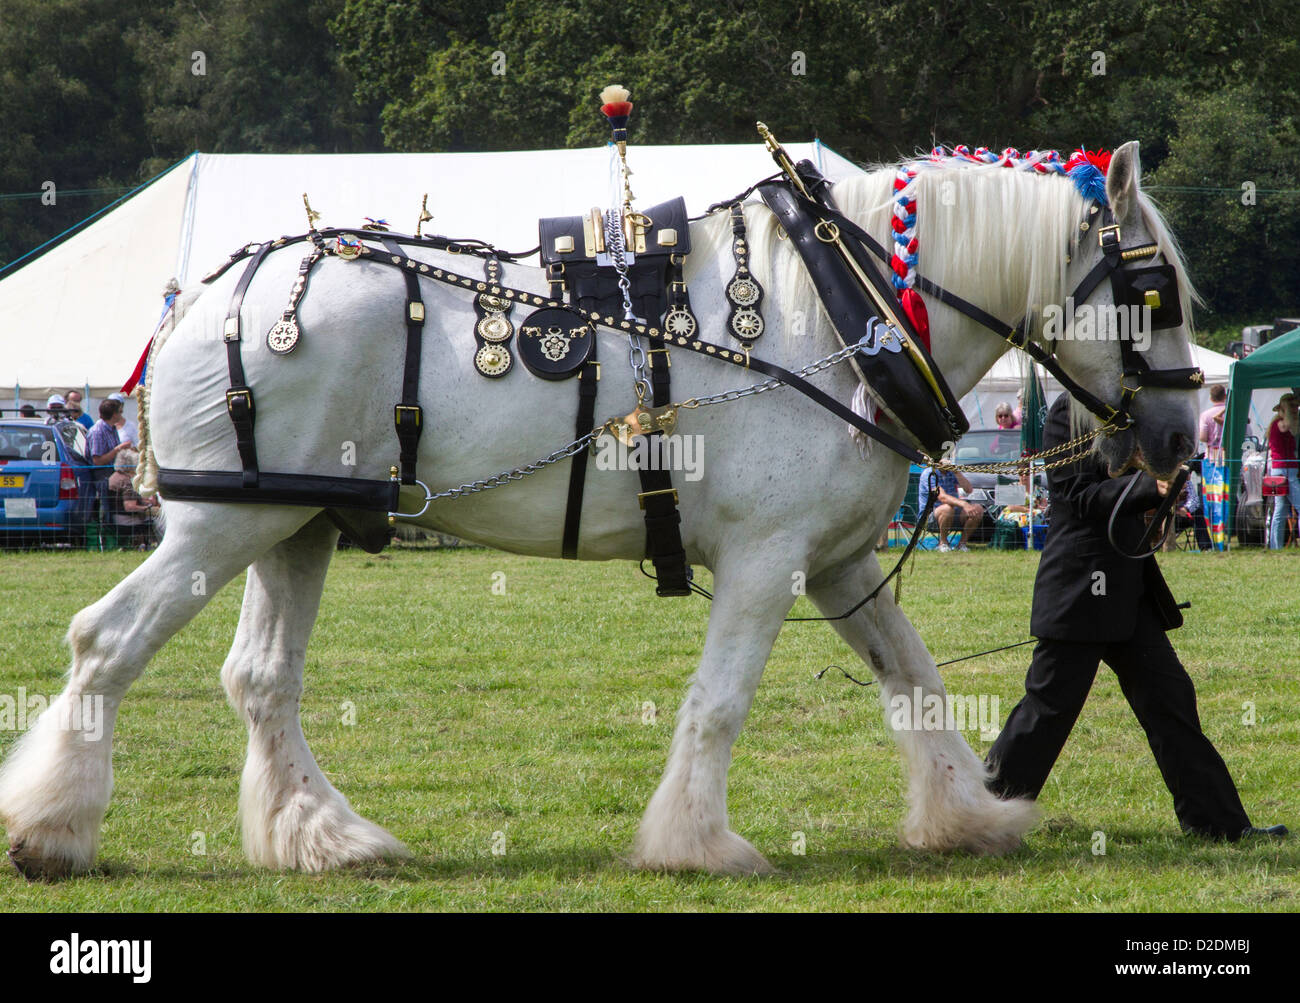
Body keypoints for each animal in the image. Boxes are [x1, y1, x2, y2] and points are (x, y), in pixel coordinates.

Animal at [0, 141, 1199, 877]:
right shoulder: (766, 558)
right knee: (105, 641)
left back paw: (326, 838)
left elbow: (914, 680)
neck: (839, 308)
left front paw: (966, 815)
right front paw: (697, 842)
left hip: (294, 526)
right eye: (1154, 295)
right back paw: (51, 829)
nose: (1182, 443)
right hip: (223, 525)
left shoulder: (836, 561)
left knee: (259, 681)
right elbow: (719, 703)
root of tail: (203, 295)